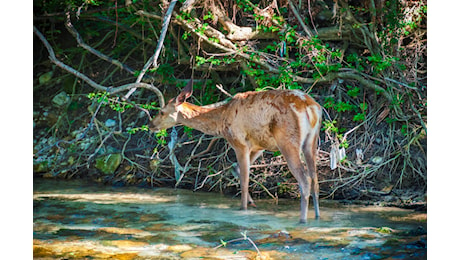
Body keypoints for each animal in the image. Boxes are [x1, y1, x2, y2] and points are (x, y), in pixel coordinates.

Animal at [149, 79, 322, 223]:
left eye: (161, 111)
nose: (151, 125)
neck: (221, 121)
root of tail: (312, 108)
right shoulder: (259, 145)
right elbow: (235, 168)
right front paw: (252, 203)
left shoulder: (239, 143)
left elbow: (244, 181)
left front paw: (243, 208)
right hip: (311, 142)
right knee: (315, 179)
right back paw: (317, 216)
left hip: (287, 141)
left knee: (305, 179)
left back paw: (302, 220)